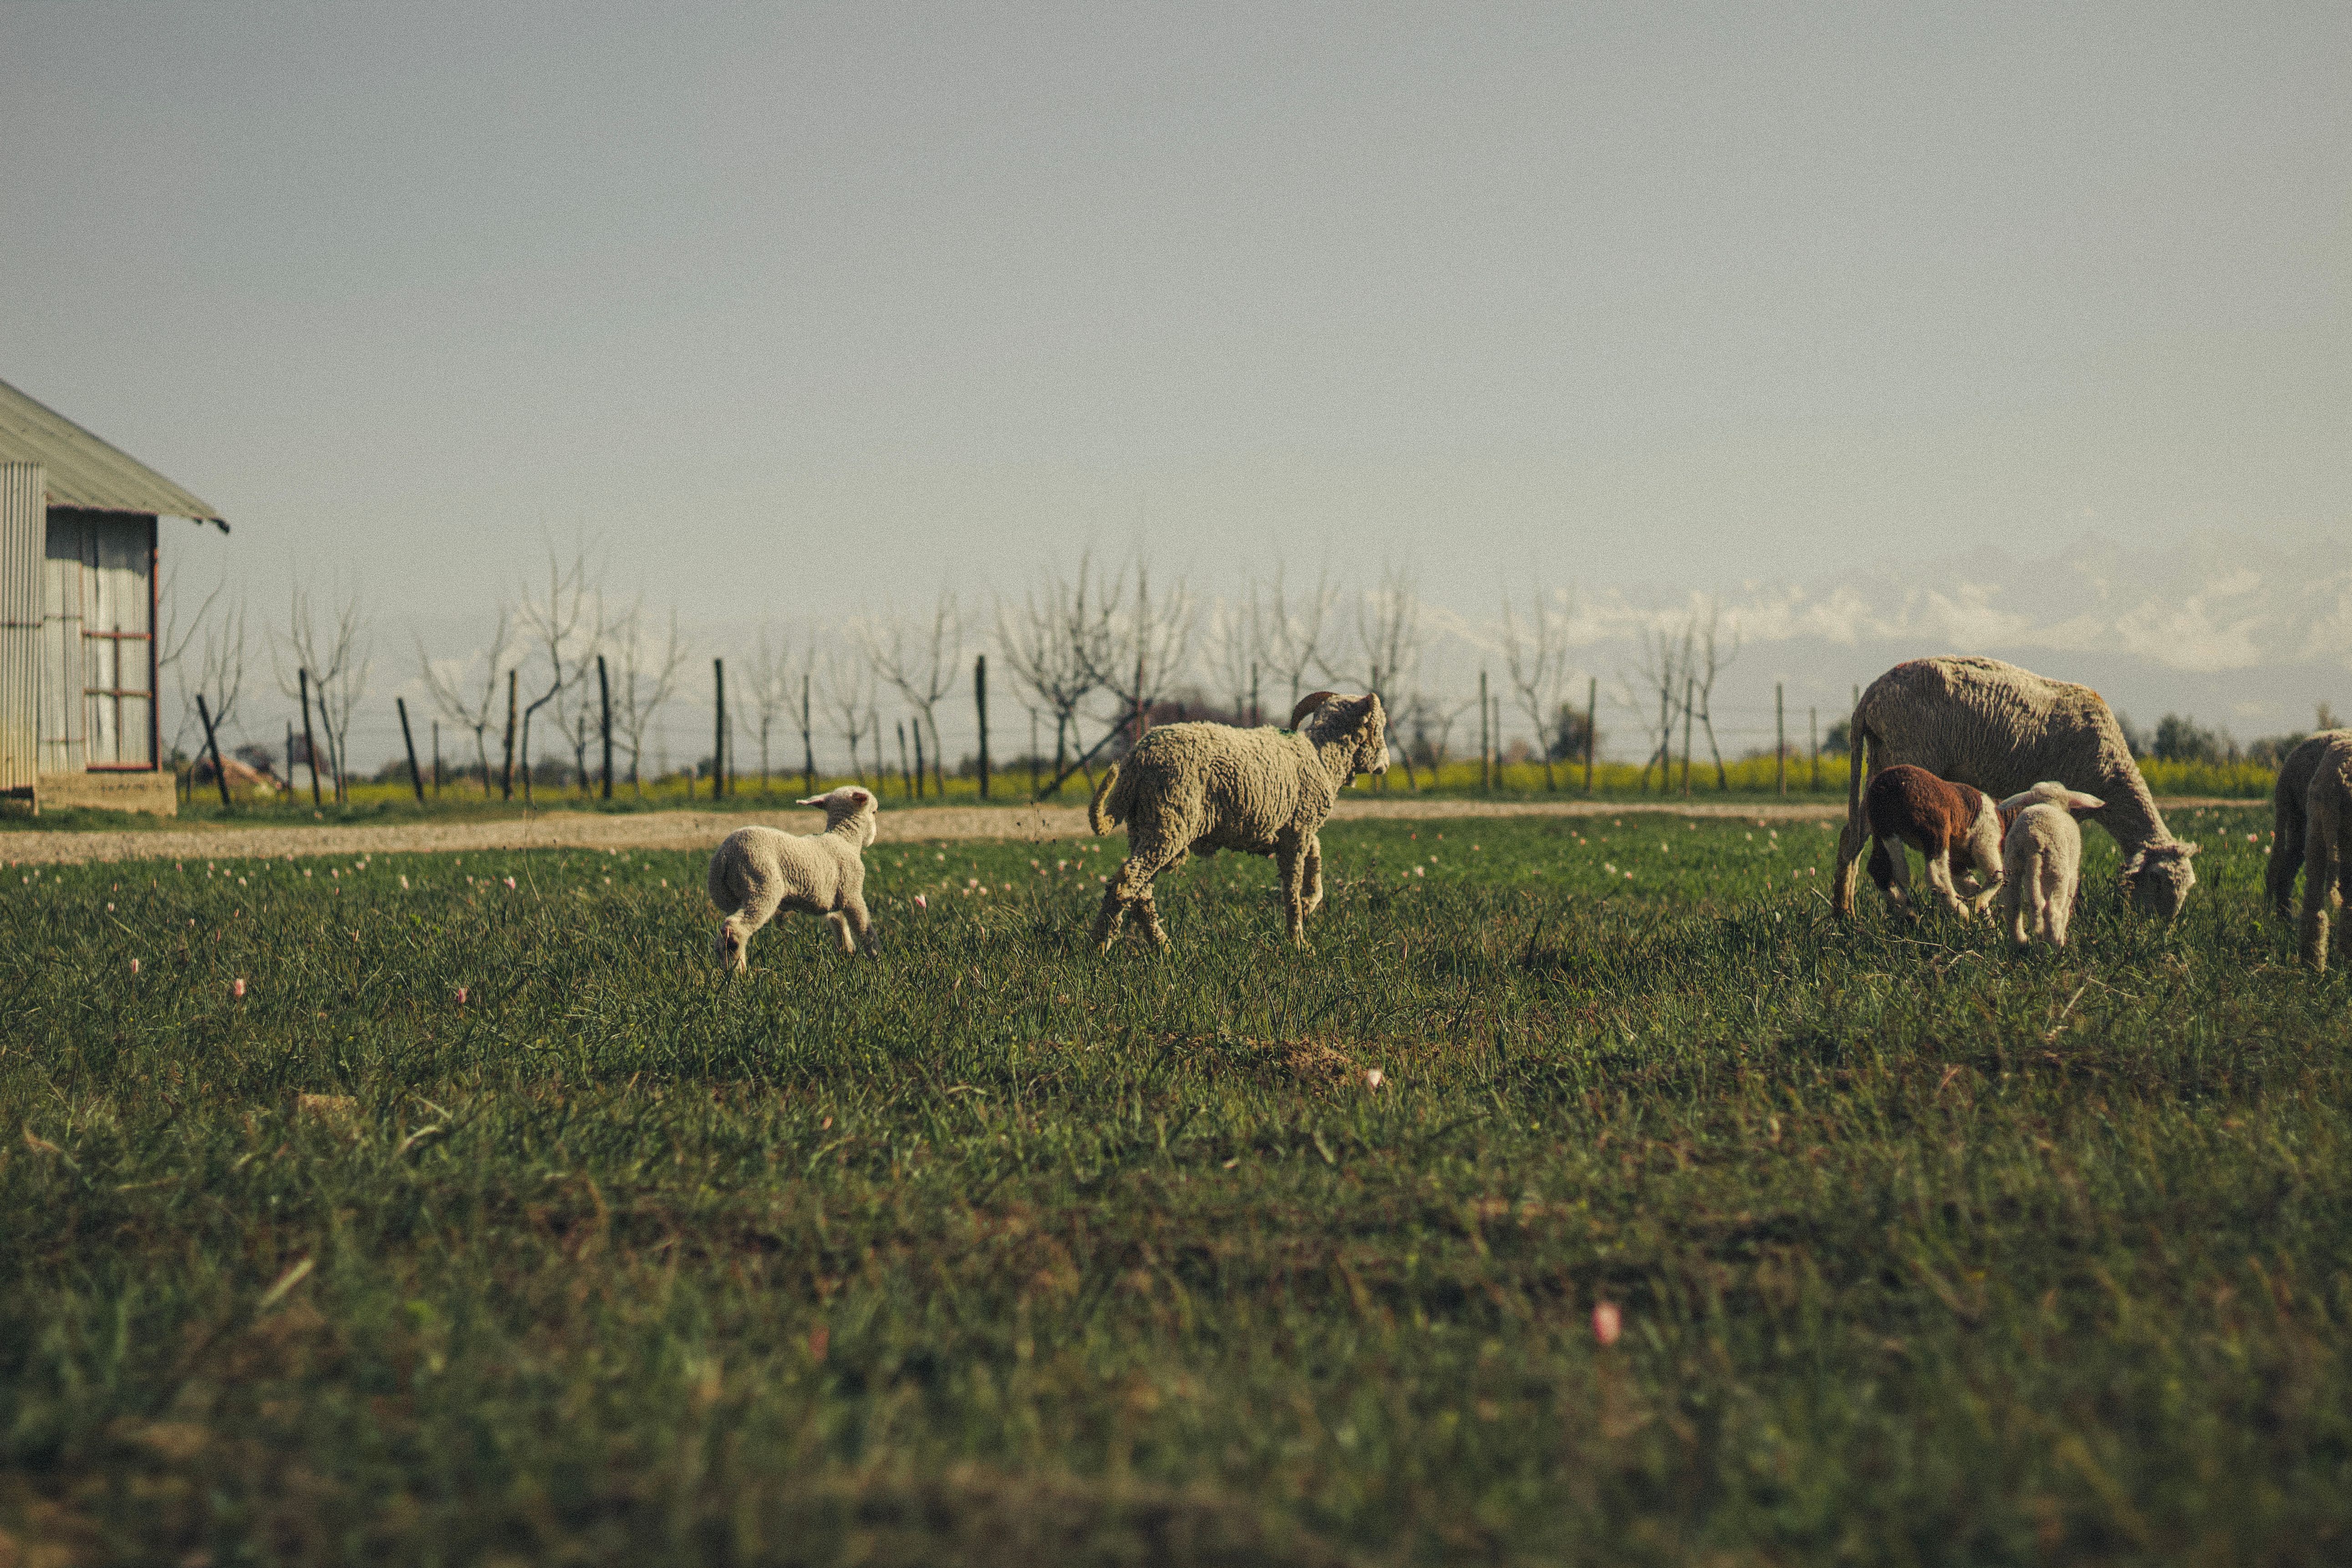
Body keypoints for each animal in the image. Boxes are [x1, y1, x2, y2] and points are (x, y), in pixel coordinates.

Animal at [707, 785, 880, 972]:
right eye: (874, 812)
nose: (873, 838)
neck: (845, 839)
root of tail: (725, 855)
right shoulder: (851, 893)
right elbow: (864, 929)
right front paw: (877, 959)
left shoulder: (833, 901)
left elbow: (840, 927)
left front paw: (846, 955)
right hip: (761, 885)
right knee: (736, 931)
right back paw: (740, 974)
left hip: (729, 898)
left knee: (723, 937)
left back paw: (729, 970)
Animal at [1086, 691, 1390, 950]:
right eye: (1380, 728)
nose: (1386, 764)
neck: (1323, 759)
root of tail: (1136, 759)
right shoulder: (1298, 829)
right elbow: (1291, 887)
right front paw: (1299, 943)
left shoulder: (1289, 831)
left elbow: (1316, 853)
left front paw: (1310, 901)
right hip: (1170, 823)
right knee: (1127, 882)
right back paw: (1100, 949)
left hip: (1145, 826)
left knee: (1141, 892)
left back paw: (1163, 948)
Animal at [1860, 763, 2006, 921]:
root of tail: (1887, 784)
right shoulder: (1985, 841)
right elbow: (1997, 876)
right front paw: (1977, 909)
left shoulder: (1957, 863)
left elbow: (1973, 887)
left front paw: (1987, 921)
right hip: (1934, 827)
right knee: (1937, 877)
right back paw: (1963, 914)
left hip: (1880, 828)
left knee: (1880, 867)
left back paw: (1908, 914)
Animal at [1997, 782, 2106, 950]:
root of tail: (2034, 838)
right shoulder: (2072, 876)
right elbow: (2066, 906)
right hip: (2057, 869)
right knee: (2053, 910)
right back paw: (2056, 947)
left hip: (2013, 863)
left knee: (2011, 904)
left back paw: (2020, 943)